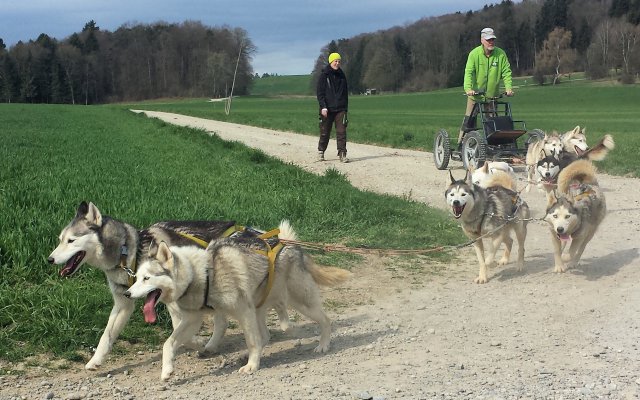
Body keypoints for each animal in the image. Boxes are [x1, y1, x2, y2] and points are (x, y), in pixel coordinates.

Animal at [49, 202, 288, 370]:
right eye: (60, 239)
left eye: (71, 241)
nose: (50, 259)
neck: (130, 252)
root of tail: (257, 234)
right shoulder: (123, 303)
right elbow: (106, 336)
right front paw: (95, 361)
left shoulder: (175, 301)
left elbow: (178, 329)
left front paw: (194, 342)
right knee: (222, 320)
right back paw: (212, 346)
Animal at [122, 222, 352, 382]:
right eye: (137, 277)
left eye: (147, 278)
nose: (126, 293)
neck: (202, 274)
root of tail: (289, 245)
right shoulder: (192, 320)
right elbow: (169, 343)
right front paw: (167, 370)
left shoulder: (242, 311)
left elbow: (252, 340)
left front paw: (252, 366)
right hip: (259, 308)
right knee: (265, 335)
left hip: (300, 301)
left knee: (325, 320)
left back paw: (323, 345)